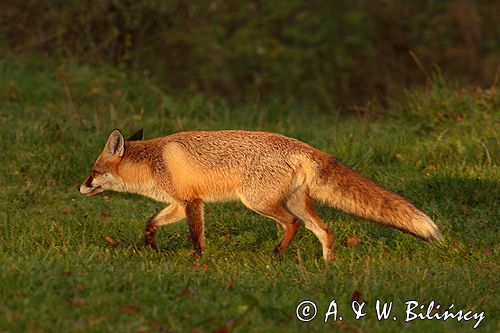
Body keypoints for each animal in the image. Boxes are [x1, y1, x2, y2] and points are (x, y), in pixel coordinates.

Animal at [80, 128, 444, 260]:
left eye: (93, 171)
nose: (79, 187)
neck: (153, 162)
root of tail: (303, 146)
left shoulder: (191, 202)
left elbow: (196, 237)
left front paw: (197, 262)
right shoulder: (178, 203)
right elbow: (150, 222)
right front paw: (152, 246)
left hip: (257, 202)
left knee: (292, 224)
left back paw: (278, 253)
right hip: (294, 202)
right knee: (324, 230)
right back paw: (327, 267)